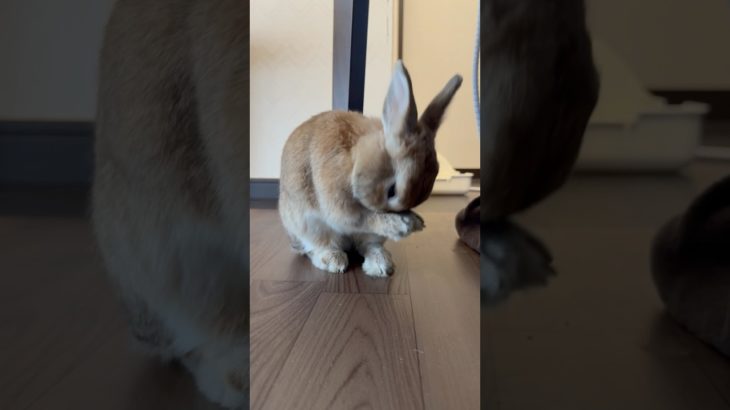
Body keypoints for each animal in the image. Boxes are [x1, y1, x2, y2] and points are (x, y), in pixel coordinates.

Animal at [279, 61, 462, 277]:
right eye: (391, 190)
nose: (402, 215)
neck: (354, 158)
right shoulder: (340, 206)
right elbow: (363, 218)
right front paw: (406, 225)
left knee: (368, 245)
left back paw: (381, 264)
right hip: (309, 225)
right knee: (319, 246)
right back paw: (333, 260)